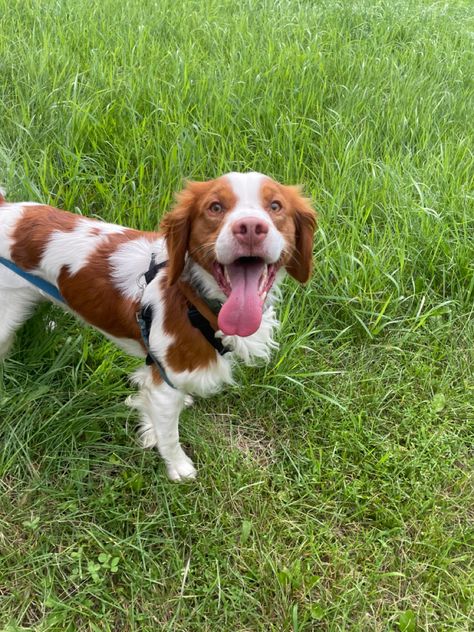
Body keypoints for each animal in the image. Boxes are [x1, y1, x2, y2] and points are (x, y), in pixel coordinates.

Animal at [0, 173, 318, 478]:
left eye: (275, 206)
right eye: (215, 207)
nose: (251, 226)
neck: (194, 300)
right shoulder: (165, 383)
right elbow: (170, 435)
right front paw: (178, 467)